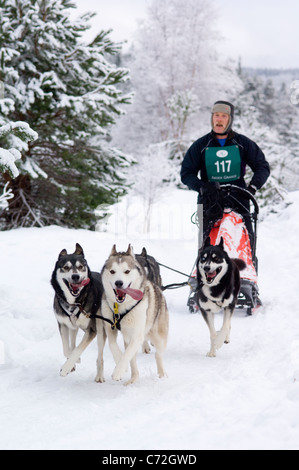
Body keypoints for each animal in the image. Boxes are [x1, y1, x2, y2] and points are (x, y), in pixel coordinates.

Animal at [51, 244, 106, 380]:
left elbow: (78, 349)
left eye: (81, 267)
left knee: (100, 357)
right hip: (73, 326)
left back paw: (99, 376)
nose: (75, 276)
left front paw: (66, 367)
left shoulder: (91, 330)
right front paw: (72, 362)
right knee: (73, 341)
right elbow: (67, 349)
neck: (74, 303)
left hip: (100, 328)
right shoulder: (63, 324)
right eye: (66, 267)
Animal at [97, 244, 170, 384]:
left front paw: (119, 370)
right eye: (112, 271)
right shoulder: (110, 328)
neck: (120, 309)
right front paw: (120, 363)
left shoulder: (136, 335)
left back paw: (162, 374)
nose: (118, 283)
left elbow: (127, 354)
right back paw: (133, 379)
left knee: (158, 354)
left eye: (127, 271)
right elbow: (114, 346)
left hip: (158, 336)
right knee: (134, 363)